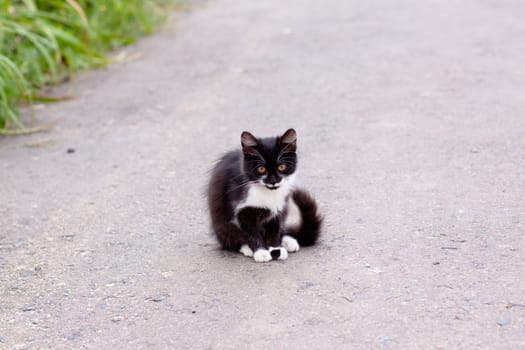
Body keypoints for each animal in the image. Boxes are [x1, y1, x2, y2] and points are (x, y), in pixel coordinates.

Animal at [207, 129, 322, 262]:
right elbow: (251, 232)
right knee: (230, 237)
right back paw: (246, 248)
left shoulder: (279, 207)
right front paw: (261, 252)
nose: (273, 181)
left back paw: (288, 242)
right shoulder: (242, 210)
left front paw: (276, 249)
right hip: (220, 221)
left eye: (281, 166)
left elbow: (274, 229)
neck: (268, 193)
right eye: (261, 169)